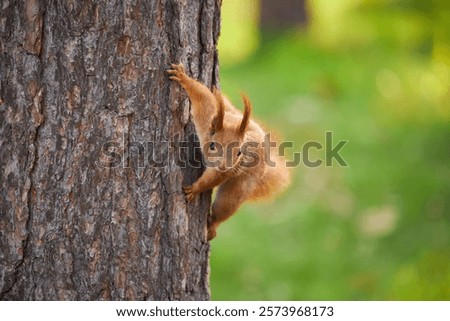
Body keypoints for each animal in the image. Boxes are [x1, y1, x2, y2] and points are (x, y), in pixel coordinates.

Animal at [167, 62, 290, 239]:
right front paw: (183, 77)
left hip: (239, 188)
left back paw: (212, 227)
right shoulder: (207, 117)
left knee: (225, 208)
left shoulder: (231, 168)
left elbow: (213, 178)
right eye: (213, 146)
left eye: (239, 152)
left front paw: (195, 189)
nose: (225, 165)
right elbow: (202, 96)